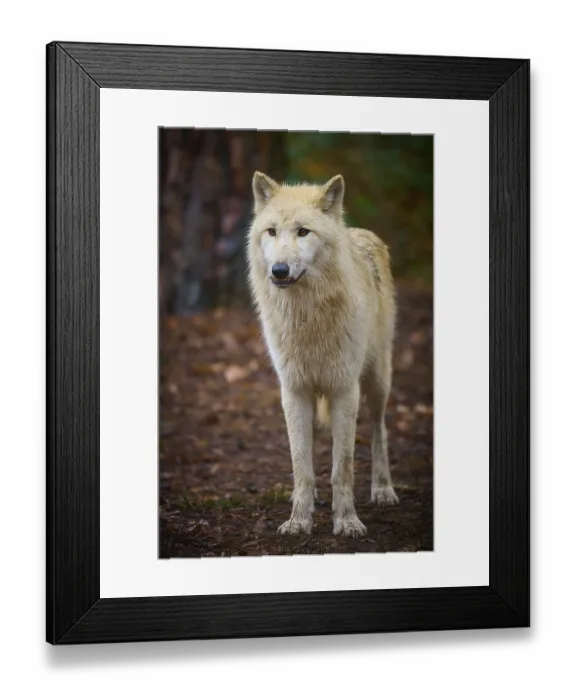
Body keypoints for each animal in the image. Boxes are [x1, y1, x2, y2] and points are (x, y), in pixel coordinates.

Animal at [247, 171, 399, 537]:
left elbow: (342, 468)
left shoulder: (345, 390)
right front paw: (299, 521)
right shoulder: (294, 390)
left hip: (377, 381)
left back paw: (383, 489)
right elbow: (302, 464)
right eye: (271, 231)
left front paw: (347, 521)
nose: (279, 270)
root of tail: (361, 233)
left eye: (303, 231)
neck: (307, 315)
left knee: (380, 430)